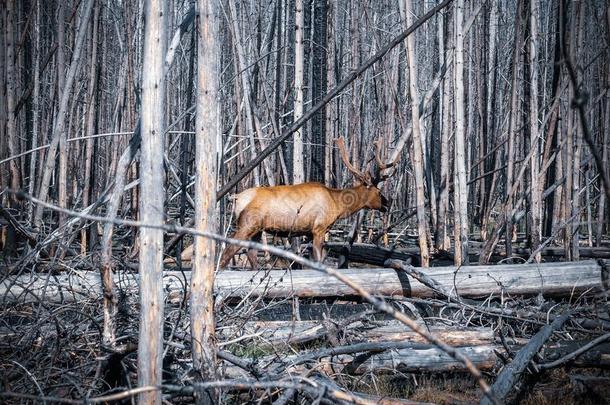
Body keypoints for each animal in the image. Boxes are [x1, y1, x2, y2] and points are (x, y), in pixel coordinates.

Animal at [218, 137, 394, 266]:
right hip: (246, 225)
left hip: (257, 230)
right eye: (379, 192)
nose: (387, 203)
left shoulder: (309, 232)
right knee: (226, 253)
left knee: (252, 256)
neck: (337, 204)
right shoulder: (319, 228)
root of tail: (236, 198)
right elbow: (318, 260)